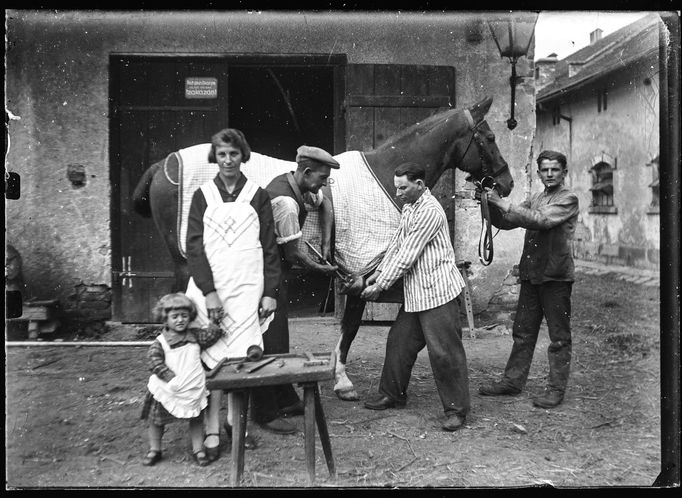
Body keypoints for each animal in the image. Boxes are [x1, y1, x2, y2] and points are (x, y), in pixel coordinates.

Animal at [131, 96, 510, 400]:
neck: (385, 176)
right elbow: (351, 327)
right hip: (189, 263)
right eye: (490, 138)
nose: (506, 183)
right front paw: (342, 380)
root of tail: (163, 165)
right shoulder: (361, 269)